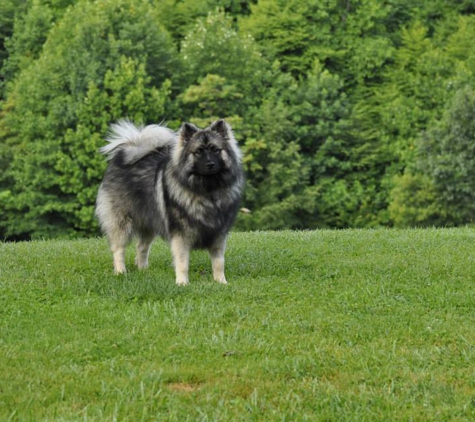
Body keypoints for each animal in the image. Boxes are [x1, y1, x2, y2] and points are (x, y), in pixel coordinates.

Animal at [96, 117, 245, 286]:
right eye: (198, 152)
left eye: (215, 150)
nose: (210, 164)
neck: (207, 190)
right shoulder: (181, 234)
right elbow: (182, 262)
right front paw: (182, 283)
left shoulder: (218, 234)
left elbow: (219, 262)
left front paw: (221, 282)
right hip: (121, 221)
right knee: (118, 249)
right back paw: (121, 272)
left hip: (149, 221)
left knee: (141, 247)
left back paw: (143, 270)